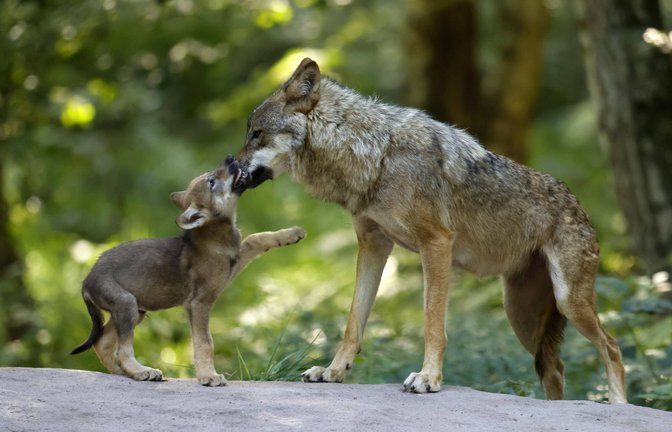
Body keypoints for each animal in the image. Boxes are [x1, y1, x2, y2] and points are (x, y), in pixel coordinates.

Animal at [70, 156, 305, 385]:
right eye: (211, 182)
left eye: (210, 175)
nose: (230, 158)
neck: (216, 233)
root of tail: (85, 282)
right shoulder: (199, 302)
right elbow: (205, 343)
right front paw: (208, 376)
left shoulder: (234, 264)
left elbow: (257, 238)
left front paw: (292, 234)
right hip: (127, 304)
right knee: (122, 350)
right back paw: (143, 372)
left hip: (136, 310)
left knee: (102, 342)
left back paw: (124, 373)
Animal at [233, 58, 627, 403]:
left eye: (256, 134)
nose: (231, 166)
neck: (375, 155)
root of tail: (579, 205)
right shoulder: (373, 244)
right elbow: (353, 322)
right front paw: (333, 371)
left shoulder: (436, 244)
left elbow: (431, 323)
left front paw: (428, 378)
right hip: (521, 315)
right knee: (556, 367)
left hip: (567, 302)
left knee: (612, 347)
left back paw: (617, 404)